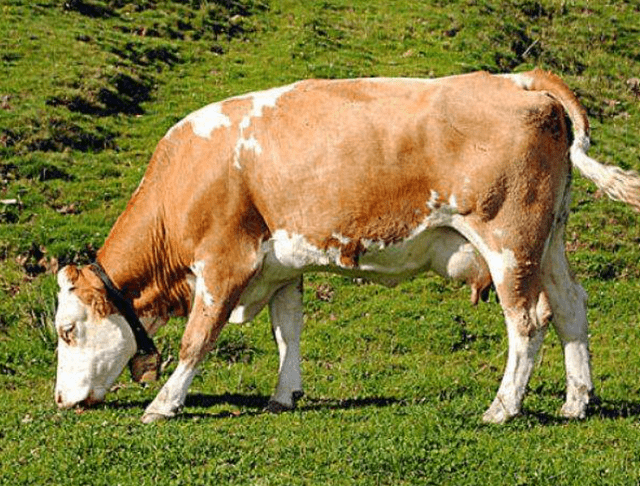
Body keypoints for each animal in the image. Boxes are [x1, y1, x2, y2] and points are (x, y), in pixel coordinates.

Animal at [53, 70, 640, 424]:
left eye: (66, 330)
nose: (59, 399)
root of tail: (516, 78)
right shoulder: (280, 266)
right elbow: (287, 332)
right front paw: (284, 394)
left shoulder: (224, 263)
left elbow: (196, 340)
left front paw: (164, 404)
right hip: (549, 239)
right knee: (570, 306)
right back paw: (575, 401)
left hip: (509, 242)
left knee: (528, 319)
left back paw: (502, 407)